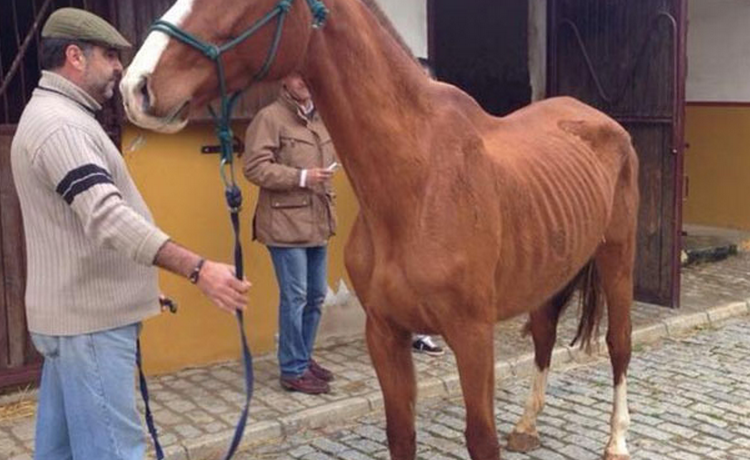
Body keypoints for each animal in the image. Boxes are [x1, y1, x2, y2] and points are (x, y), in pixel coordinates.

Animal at [120, 1, 636, 458]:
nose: (137, 86)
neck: (417, 183)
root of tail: (601, 120)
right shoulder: (385, 333)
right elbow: (400, 436)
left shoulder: (473, 336)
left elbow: (481, 441)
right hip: (550, 271)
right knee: (545, 335)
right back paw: (527, 426)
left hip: (616, 259)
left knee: (619, 344)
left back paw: (616, 442)